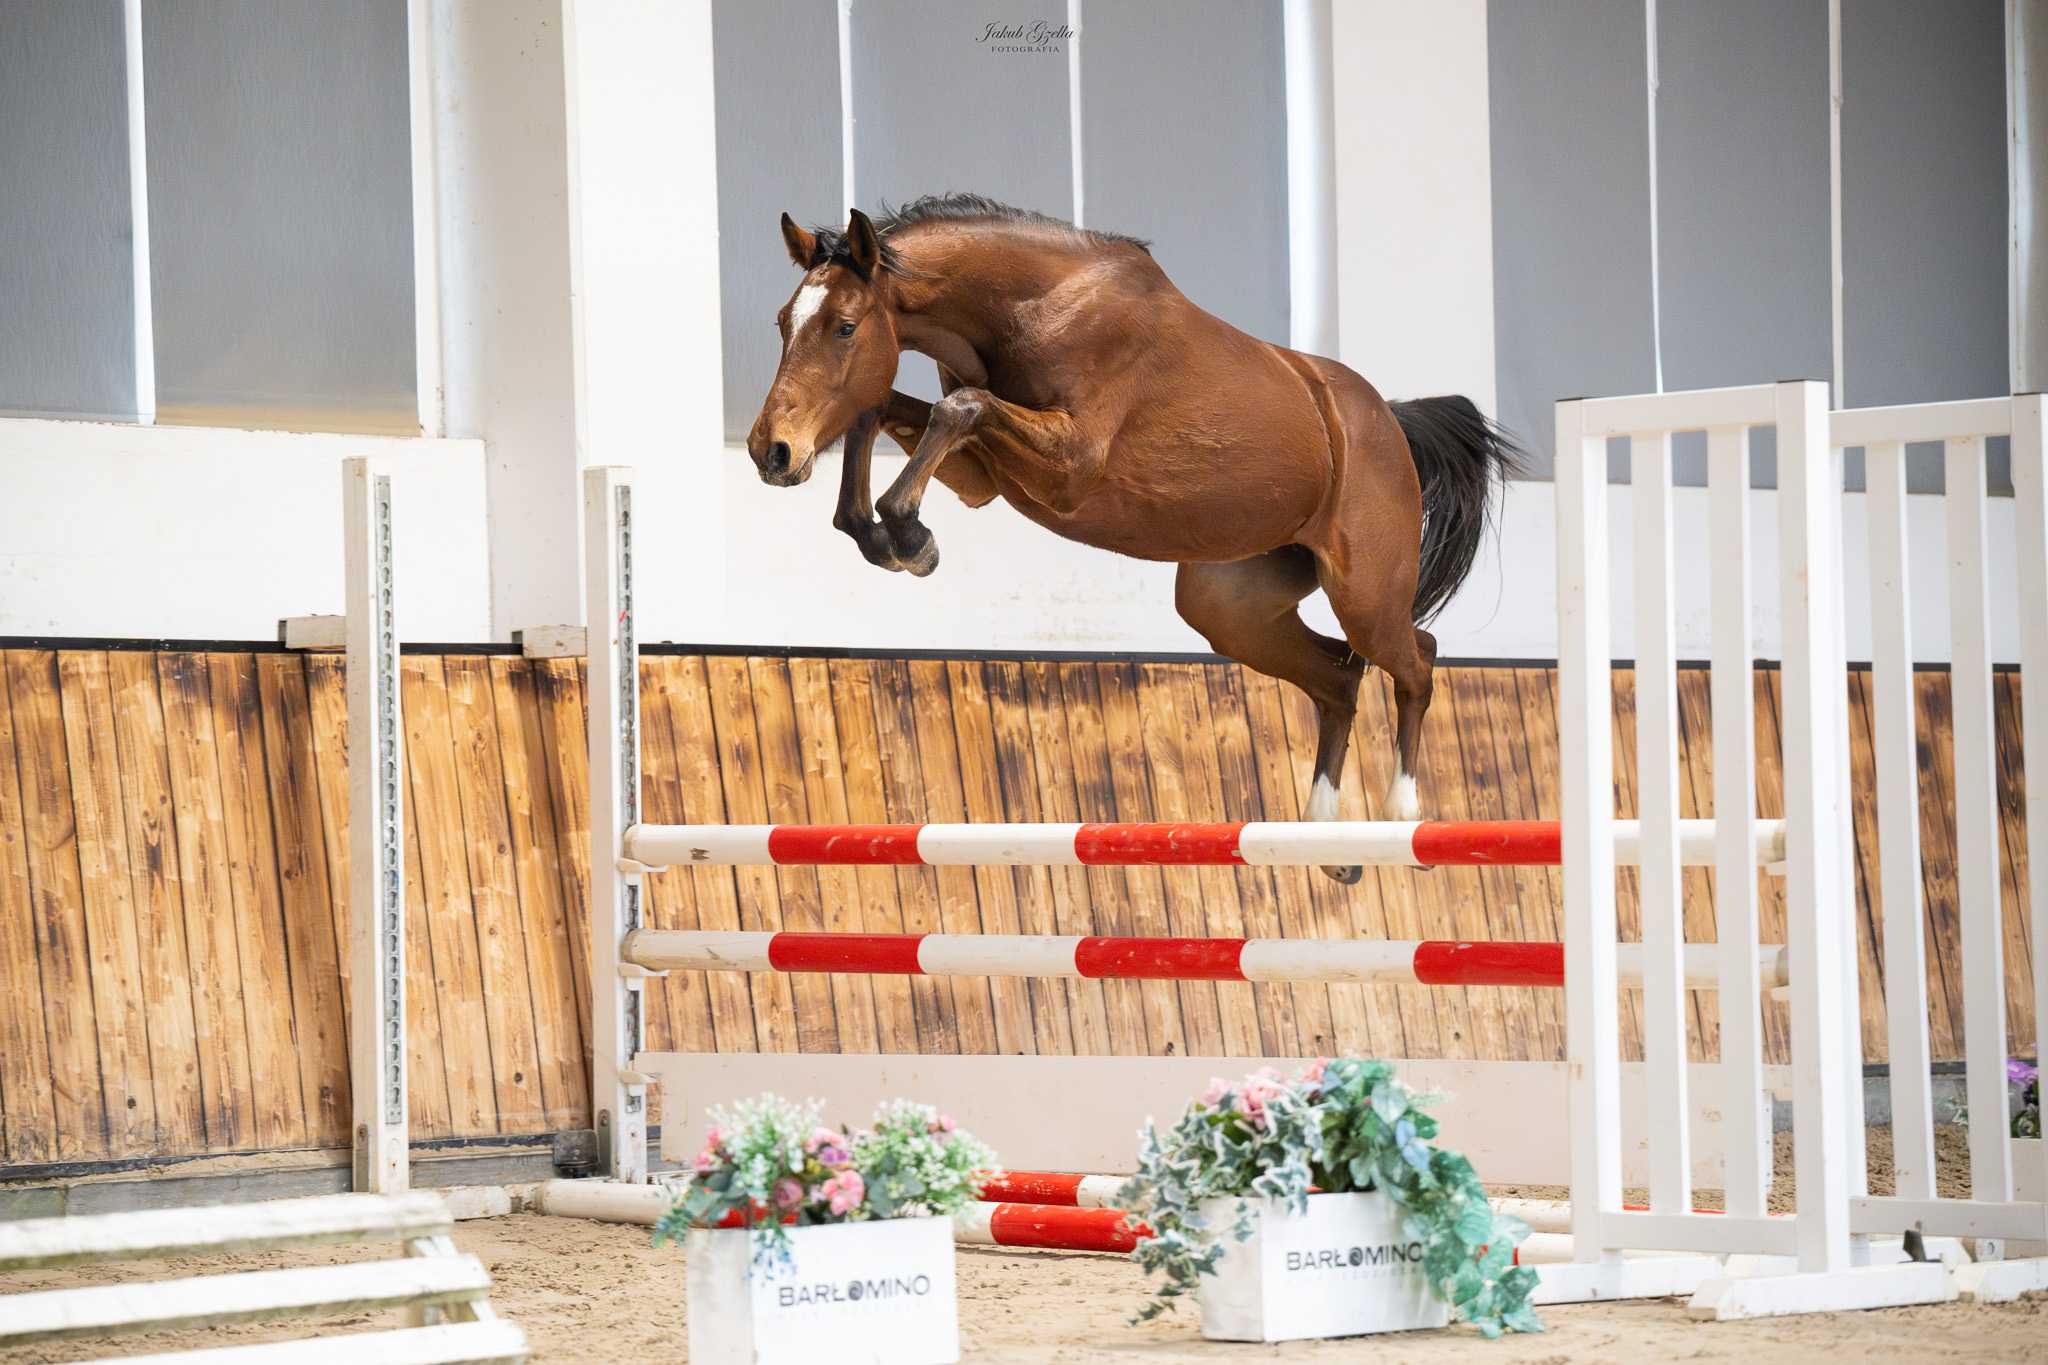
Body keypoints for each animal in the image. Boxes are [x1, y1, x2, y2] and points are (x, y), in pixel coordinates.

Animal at [745, 194, 1521, 882]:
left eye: (846, 327)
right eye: (783, 321)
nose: (769, 451)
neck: (1033, 306)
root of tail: (1388, 421)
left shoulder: (1068, 466)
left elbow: (956, 407)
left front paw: (908, 536)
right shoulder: (983, 477)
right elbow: (884, 410)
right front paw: (884, 534)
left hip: (1364, 593)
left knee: (1416, 660)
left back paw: (1402, 816)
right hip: (1229, 607)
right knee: (1337, 677)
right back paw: (1326, 840)